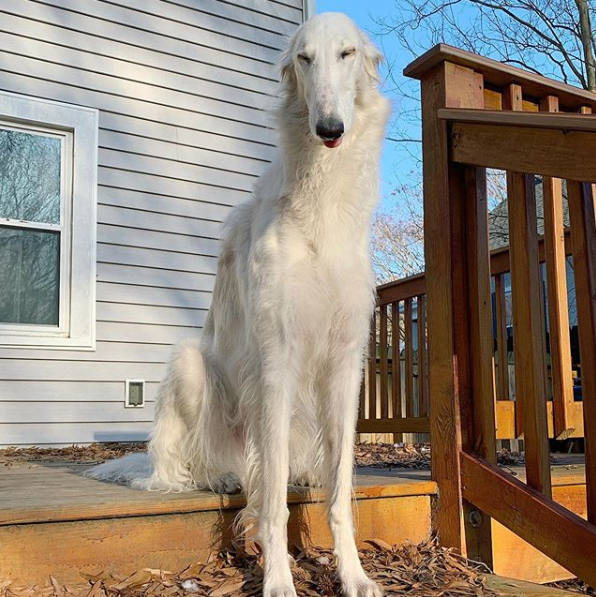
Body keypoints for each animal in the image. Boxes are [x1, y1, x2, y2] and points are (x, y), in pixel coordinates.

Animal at [86, 12, 388, 596]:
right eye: (304, 58)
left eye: (346, 54)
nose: (329, 128)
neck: (320, 204)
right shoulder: (276, 358)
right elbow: (271, 506)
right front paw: (278, 580)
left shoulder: (346, 362)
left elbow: (339, 493)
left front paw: (353, 575)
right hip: (190, 368)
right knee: (189, 468)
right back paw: (217, 474)